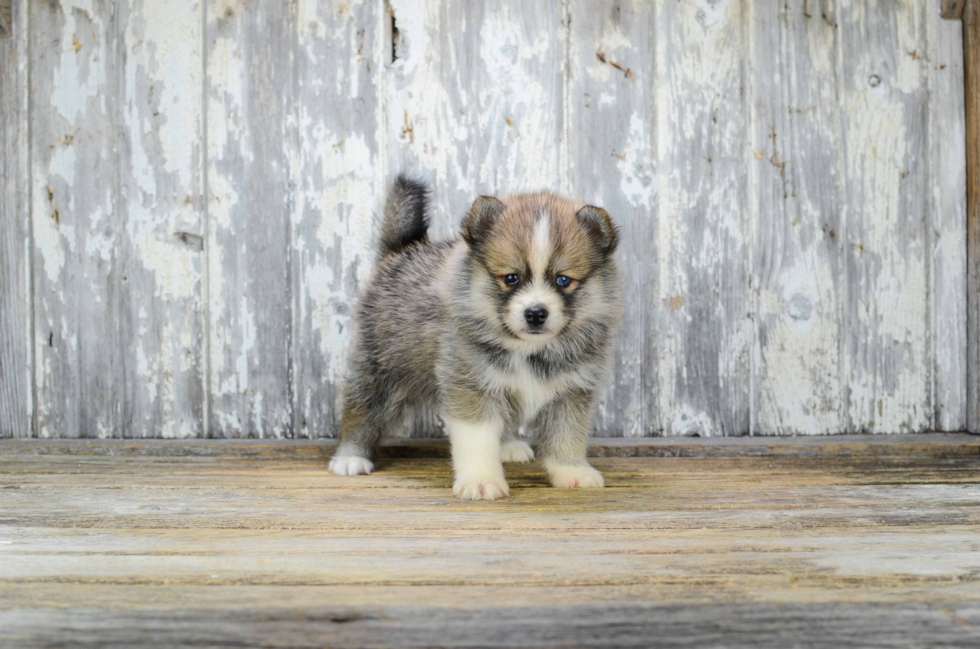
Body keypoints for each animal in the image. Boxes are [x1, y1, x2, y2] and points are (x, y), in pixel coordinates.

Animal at [330, 177, 620, 502]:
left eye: (563, 280)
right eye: (511, 278)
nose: (535, 313)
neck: (528, 349)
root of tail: (403, 250)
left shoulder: (571, 392)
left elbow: (567, 436)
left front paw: (572, 472)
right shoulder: (471, 386)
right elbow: (477, 440)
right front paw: (481, 481)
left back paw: (508, 446)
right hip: (380, 367)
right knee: (361, 409)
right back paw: (350, 457)